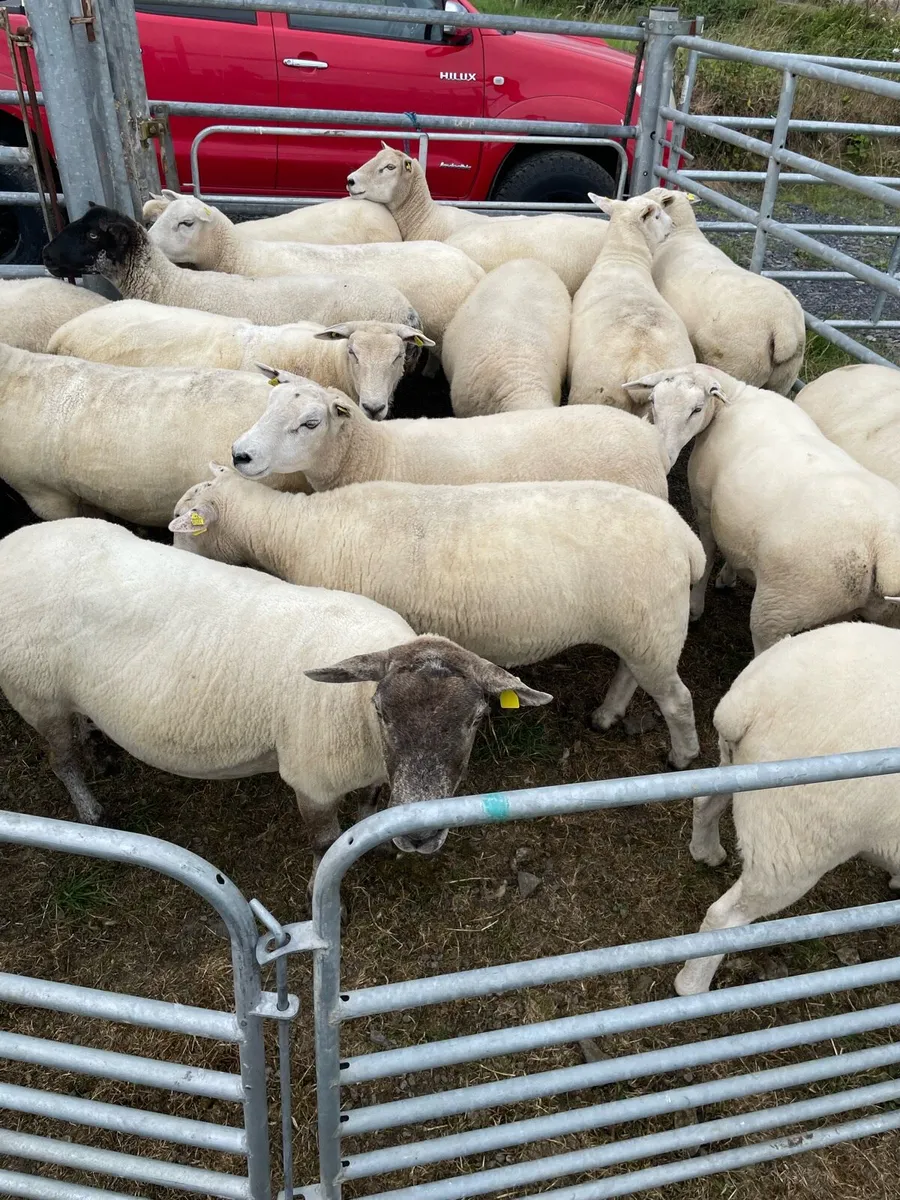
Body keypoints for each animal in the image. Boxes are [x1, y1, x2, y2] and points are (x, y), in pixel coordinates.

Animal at [0, 517, 550, 882]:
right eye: (381, 713)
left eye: (476, 720)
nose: (419, 837)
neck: (355, 715)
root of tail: (11, 543)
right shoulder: (313, 781)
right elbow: (325, 843)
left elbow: (369, 809)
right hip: (35, 693)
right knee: (61, 758)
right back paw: (93, 813)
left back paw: (99, 752)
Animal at [170, 465, 705, 768]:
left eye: (183, 524)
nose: (170, 555)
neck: (291, 532)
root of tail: (686, 537)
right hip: (641, 626)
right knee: (631, 673)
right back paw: (607, 715)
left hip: (651, 626)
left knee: (677, 699)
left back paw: (683, 756)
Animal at [622, 365, 900, 655]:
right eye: (653, 401)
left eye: (696, 409)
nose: (662, 455)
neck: (737, 397)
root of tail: (883, 547)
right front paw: (729, 576)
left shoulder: (704, 503)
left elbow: (708, 552)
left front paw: (696, 605)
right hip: (879, 614)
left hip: (780, 606)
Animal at [675, 622, 900, 995]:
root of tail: (749, 705)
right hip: (794, 847)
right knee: (726, 916)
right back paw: (692, 988)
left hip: (735, 771)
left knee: (704, 804)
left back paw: (706, 852)